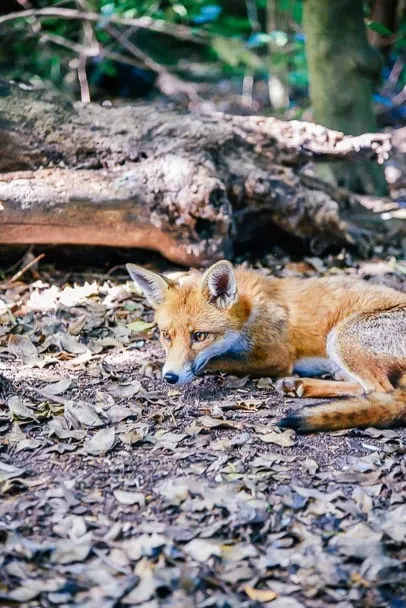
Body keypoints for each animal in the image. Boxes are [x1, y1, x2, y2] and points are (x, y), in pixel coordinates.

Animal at [127, 260, 406, 432]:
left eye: (199, 336)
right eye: (166, 335)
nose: (170, 377)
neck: (249, 310)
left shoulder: (276, 357)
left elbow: (220, 360)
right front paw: (155, 363)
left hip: (340, 337)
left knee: (377, 390)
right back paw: (300, 385)